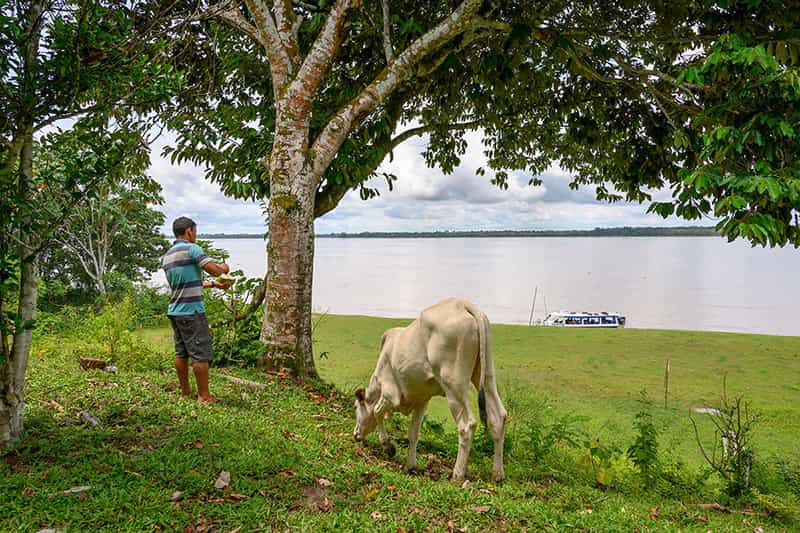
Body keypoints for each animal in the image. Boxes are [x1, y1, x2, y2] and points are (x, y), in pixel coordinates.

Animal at [353, 298, 507, 482]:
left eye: (356, 407)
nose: (355, 434)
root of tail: (463, 304)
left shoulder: (390, 395)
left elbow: (377, 412)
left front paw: (388, 446)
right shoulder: (421, 400)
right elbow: (413, 432)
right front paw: (410, 466)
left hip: (454, 385)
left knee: (467, 425)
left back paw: (457, 475)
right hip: (486, 374)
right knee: (498, 417)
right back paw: (497, 474)